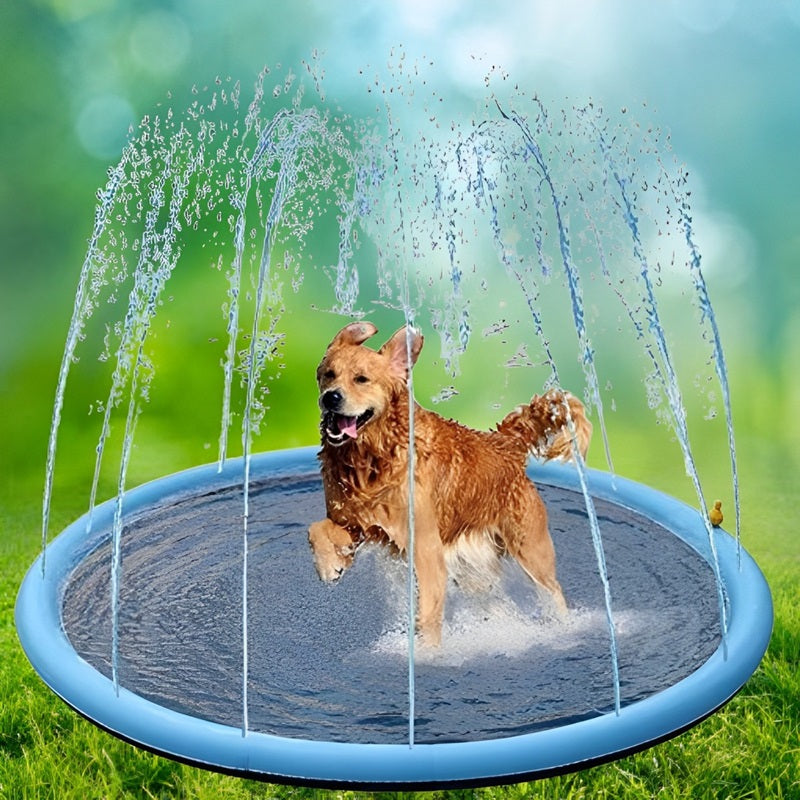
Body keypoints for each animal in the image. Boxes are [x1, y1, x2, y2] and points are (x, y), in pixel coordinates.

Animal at [310, 322, 592, 648]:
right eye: (329, 374)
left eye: (361, 379)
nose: (331, 398)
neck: (372, 456)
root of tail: (506, 443)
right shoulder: (359, 524)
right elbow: (316, 529)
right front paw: (330, 566)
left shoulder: (425, 547)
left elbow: (428, 614)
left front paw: (426, 652)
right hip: (471, 565)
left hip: (530, 550)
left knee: (552, 591)